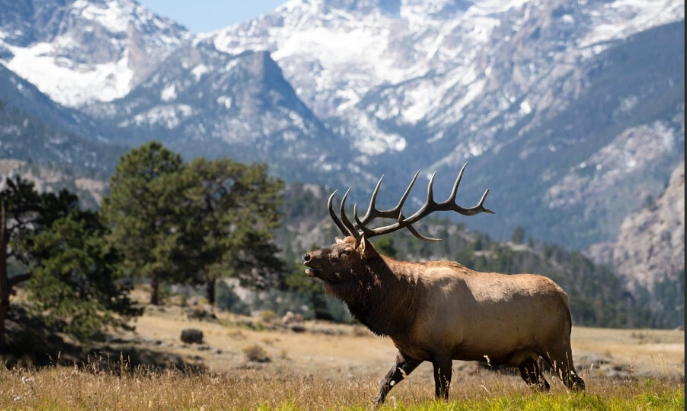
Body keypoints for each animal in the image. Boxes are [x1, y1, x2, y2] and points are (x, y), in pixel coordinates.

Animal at [301, 163, 585, 406]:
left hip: (556, 344)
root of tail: (564, 296)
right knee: (545, 387)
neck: (401, 311)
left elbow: (441, 396)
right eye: (336, 244)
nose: (307, 256)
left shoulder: (443, 349)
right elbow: (383, 386)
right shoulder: (410, 352)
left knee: (576, 383)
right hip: (525, 357)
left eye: (345, 252)